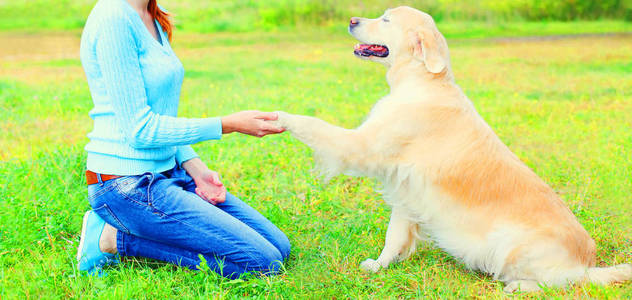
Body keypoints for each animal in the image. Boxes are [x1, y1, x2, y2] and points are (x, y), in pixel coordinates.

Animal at [272, 5, 632, 294]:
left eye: (386, 20)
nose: (351, 19)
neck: (422, 82)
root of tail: (587, 262)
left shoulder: (360, 146)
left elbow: (314, 125)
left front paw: (278, 116)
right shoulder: (406, 188)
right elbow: (394, 236)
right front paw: (379, 265)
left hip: (513, 245)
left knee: (563, 283)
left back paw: (519, 286)